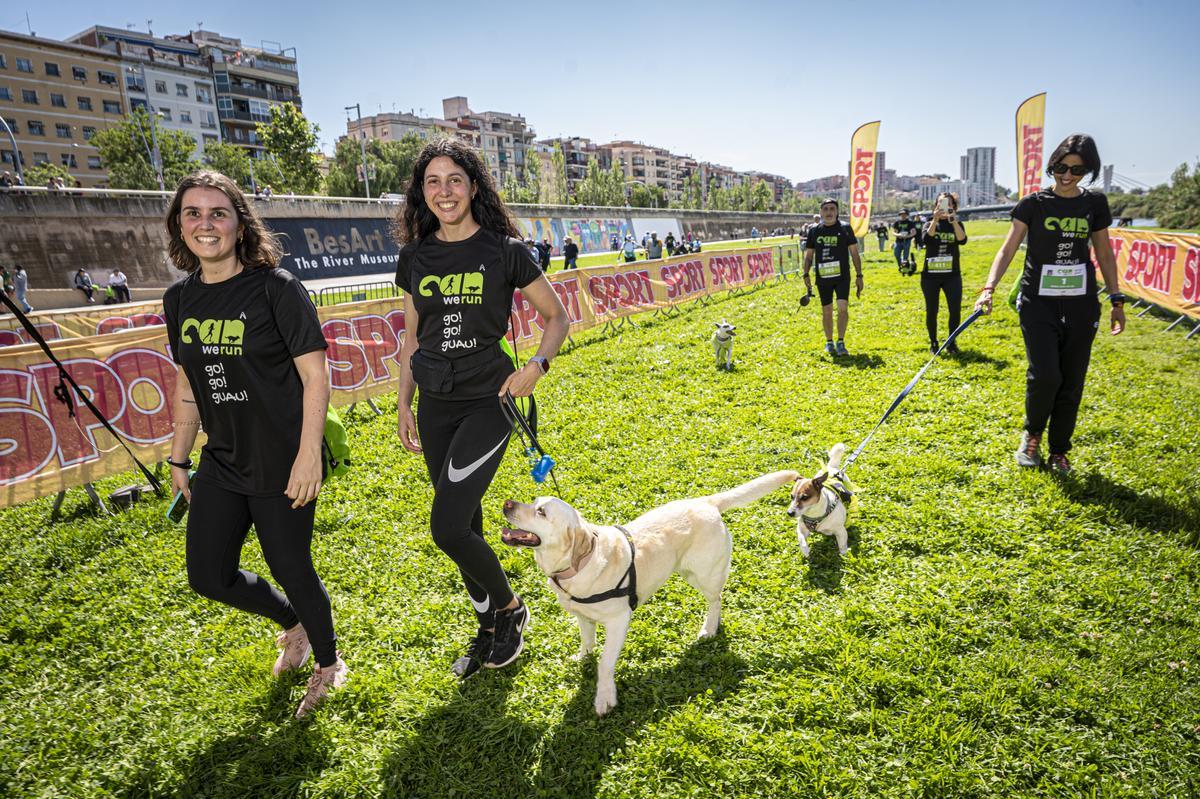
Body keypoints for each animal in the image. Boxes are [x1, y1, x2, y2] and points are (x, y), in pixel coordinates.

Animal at [499, 470, 796, 710]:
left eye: (541, 512)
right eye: (534, 501)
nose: (506, 503)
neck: (578, 565)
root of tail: (707, 502)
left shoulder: (619, 621)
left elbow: (605, 662)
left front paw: (604, 697)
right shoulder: (583, 617)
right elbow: (587, 642)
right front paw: (582, 658)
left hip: (704, 574)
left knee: (716, 600)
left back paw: (709, 628)